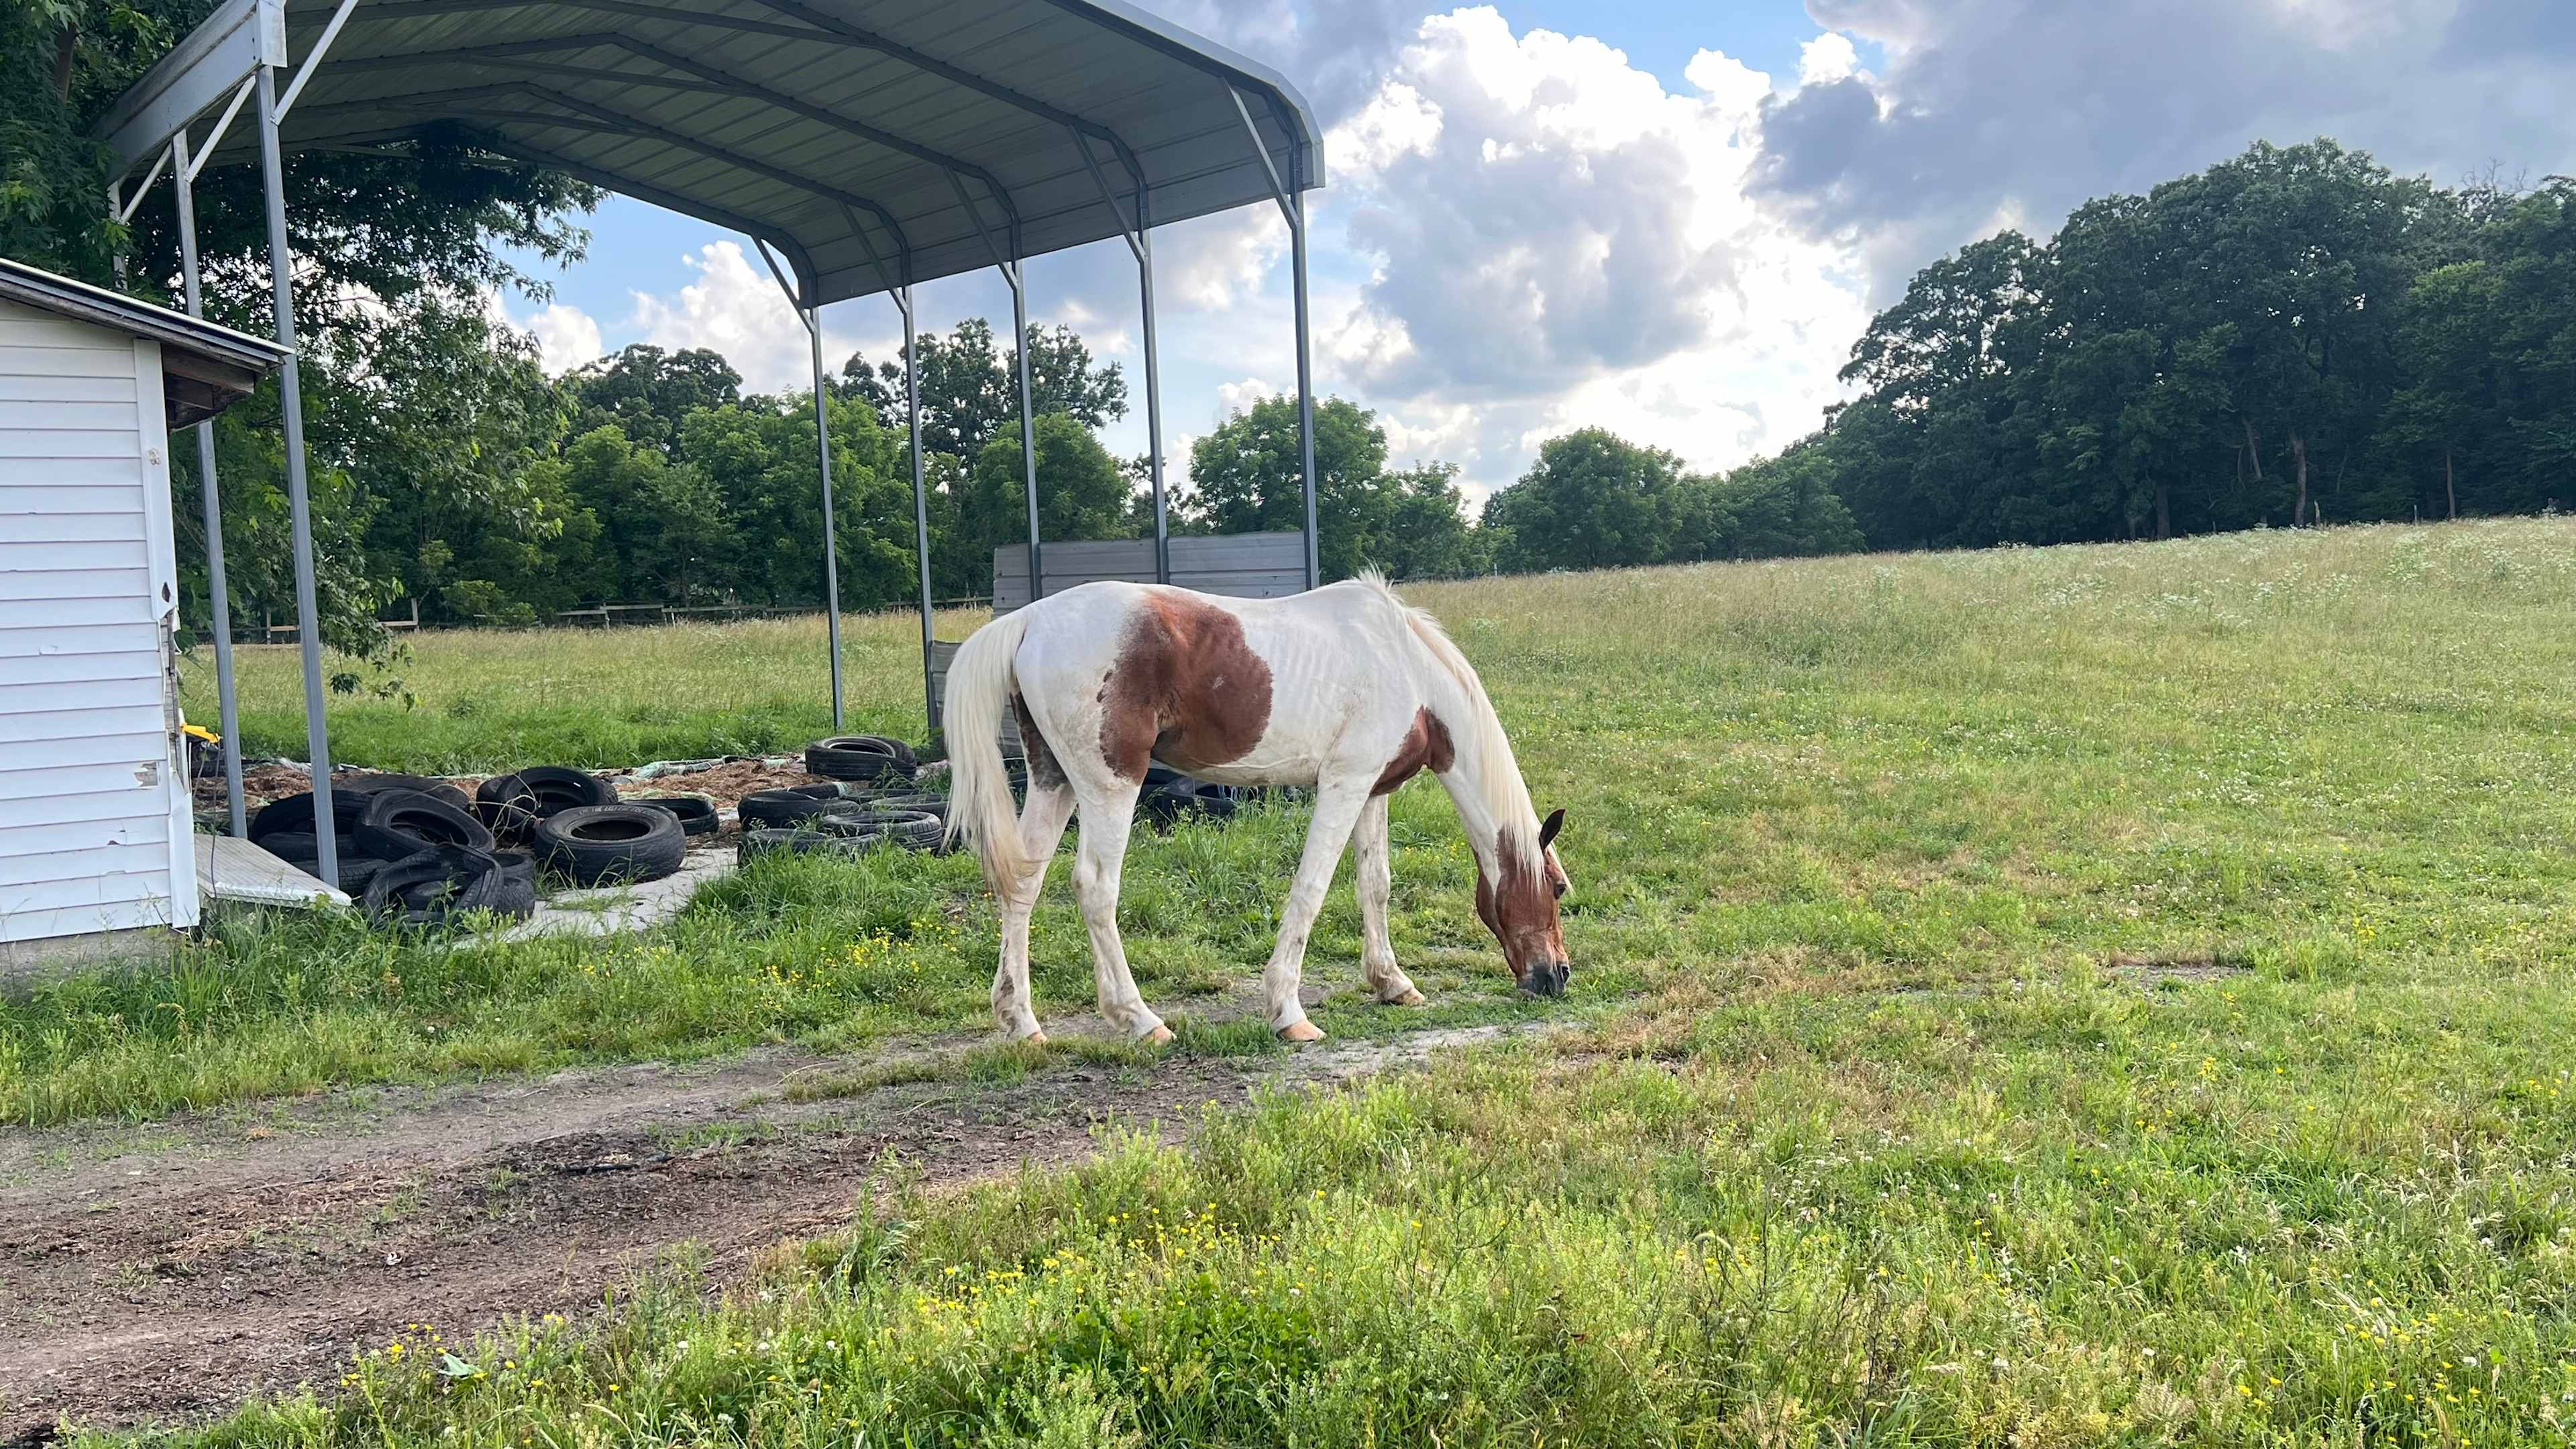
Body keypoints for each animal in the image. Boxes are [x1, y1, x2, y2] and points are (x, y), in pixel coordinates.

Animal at [942, 572, 1570, 1044]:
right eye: (1560, 889)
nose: (1557, 976)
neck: (1407, 666)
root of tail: (1029, 620)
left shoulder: (1372, 790)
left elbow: (1376, 885)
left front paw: (1392, 983)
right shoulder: (1343, 786)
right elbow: (1311, 889)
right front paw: (1289, 1013)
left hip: (1053, 781)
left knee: (1022, 883)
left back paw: (1022, 1023)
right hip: (1110, 786)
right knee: (1095, 888)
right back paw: (1140, 1019)